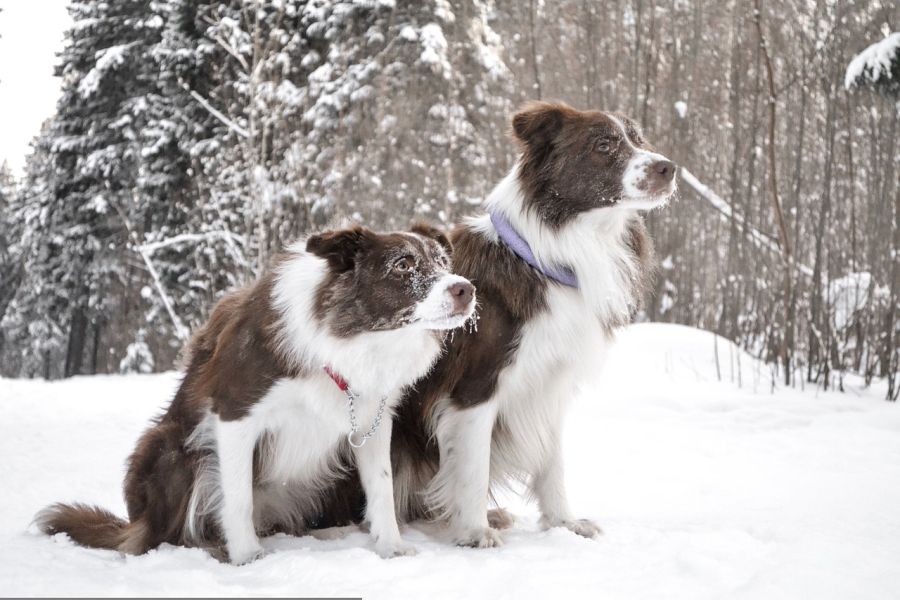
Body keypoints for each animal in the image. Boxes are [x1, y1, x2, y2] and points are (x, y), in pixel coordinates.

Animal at [37, 224, 478, 564]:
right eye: (403, 264)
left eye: (444, 263)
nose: (466, 289)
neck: (350, 340)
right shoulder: (234, 413)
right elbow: (237, 495)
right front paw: (247, 556)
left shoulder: (372, 421)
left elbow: (383, 488)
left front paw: (390, 547)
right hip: (167, 447)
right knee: (166, 532)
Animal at [386, 102, 676, 544]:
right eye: (604, 145)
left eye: (638, 139)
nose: (669, 167)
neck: (545, 256)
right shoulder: (475, 386)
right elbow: (473, 466)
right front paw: (474, 531)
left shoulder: (550, 382)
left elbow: (551, 462)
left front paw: (564, 522)